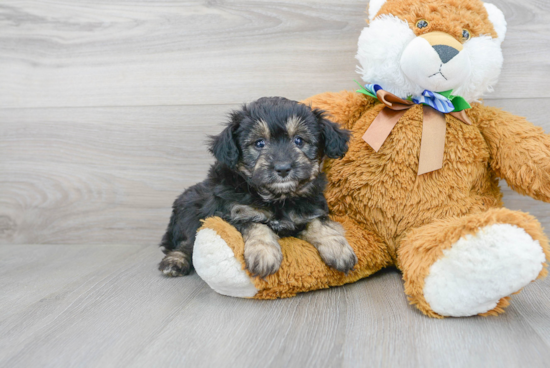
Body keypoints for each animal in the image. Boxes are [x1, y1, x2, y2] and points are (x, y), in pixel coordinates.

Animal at [158, 96, 358, 278]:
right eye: (259, 143)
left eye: (299, 141)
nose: (283, 168)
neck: (278, 198)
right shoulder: (233, 213)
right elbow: (256, 225)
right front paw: (264, 254)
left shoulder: (311, 209)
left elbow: (319, 224)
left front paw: (338, 248)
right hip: (190, 209)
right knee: (186, 241)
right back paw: (175, 261)